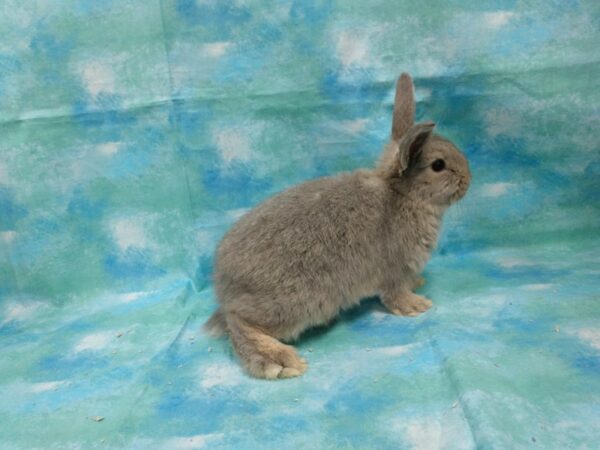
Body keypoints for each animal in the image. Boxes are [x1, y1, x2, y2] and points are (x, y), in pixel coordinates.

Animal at [204, 72, 472, 378]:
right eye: (438, 165)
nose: (469, 179)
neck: (403, 195)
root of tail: (223, 284)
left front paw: (419, 283)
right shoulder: (393, 269)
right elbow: (394, 294)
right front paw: (416, 305)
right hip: (293, 302)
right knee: (237, 321)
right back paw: (278, 361)